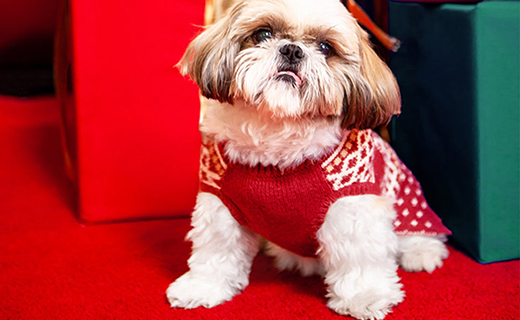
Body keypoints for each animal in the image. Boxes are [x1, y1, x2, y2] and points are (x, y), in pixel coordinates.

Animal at [168, 0, 450, 318]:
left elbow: (359, 257)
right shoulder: (220, 202)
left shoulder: (352, 206)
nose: (292, 50)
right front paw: (202, 287)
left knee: (421, 234)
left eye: (326, 47)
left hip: (409, 206)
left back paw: (421, 253)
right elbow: (216, 250)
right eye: (263, 34)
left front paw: (365, 296)